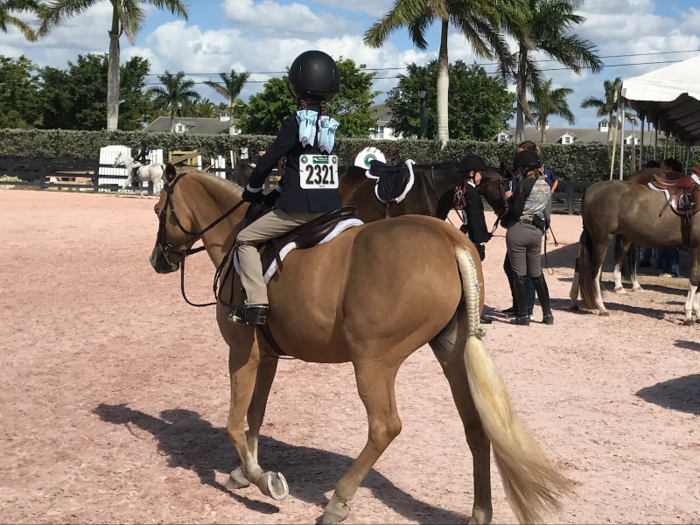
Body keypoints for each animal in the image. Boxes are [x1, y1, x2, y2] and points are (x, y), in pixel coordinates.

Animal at [150, 167, 568, 524]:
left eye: (158, 210)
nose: (158, 260)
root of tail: (450, 240)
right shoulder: (265, 357)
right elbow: (255, 415)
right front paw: (243, 470)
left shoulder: (242, 354)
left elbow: (235, 423)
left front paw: (260, 478)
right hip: (451, 355)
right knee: (475, 428)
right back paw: (480, 512)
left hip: (373, 362)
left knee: (385, 427)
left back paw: (338, 500)